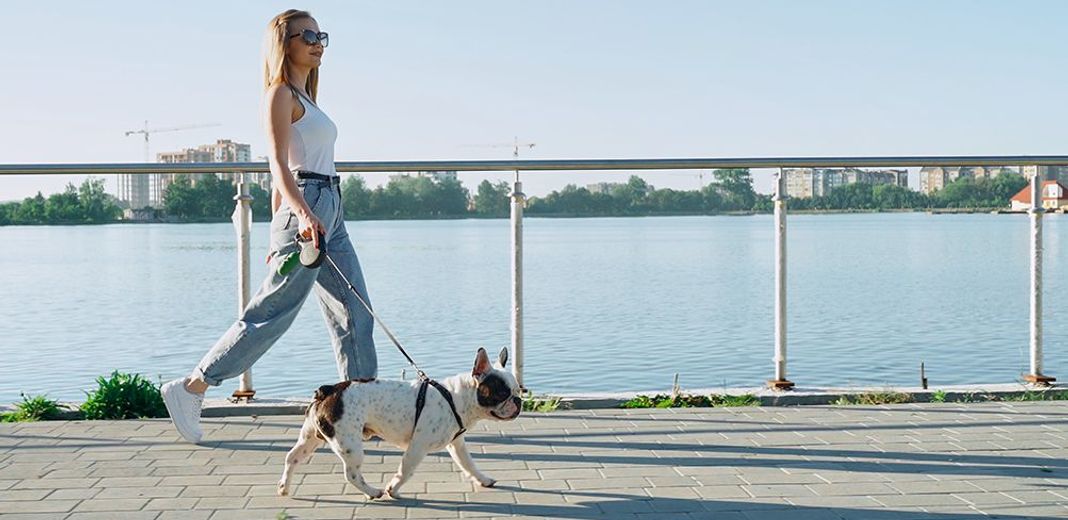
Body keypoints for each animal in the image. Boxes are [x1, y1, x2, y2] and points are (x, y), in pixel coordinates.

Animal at [277, 348, 523, 499]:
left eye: (517, 390)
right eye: (502, 393)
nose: (518, 401)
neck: (457, 397)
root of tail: (328, 390)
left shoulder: (457, 445)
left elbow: (469, 464)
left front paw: (483, 480)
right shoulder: (418, 446)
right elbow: (406, 470)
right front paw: (392, 489)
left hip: (310, 438)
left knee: (292, 457)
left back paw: (284, 488)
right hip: (350, 444)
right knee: (352, 474)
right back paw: (373, 492)